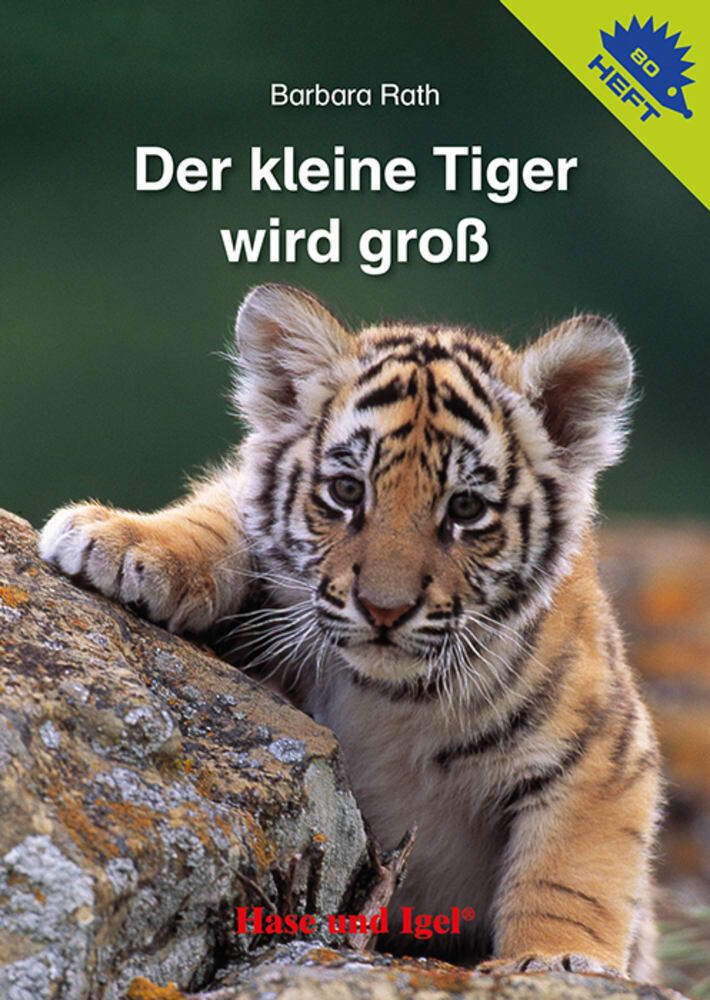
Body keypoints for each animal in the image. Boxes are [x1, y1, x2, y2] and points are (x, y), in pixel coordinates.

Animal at [39, 283, 661, 978]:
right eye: (345, 491)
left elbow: (571, 875)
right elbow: (225, 514)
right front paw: (122, 542)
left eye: (466, 508)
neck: (392, 699)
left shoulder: (605, 752)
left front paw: (555, 963)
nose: (384, 609)